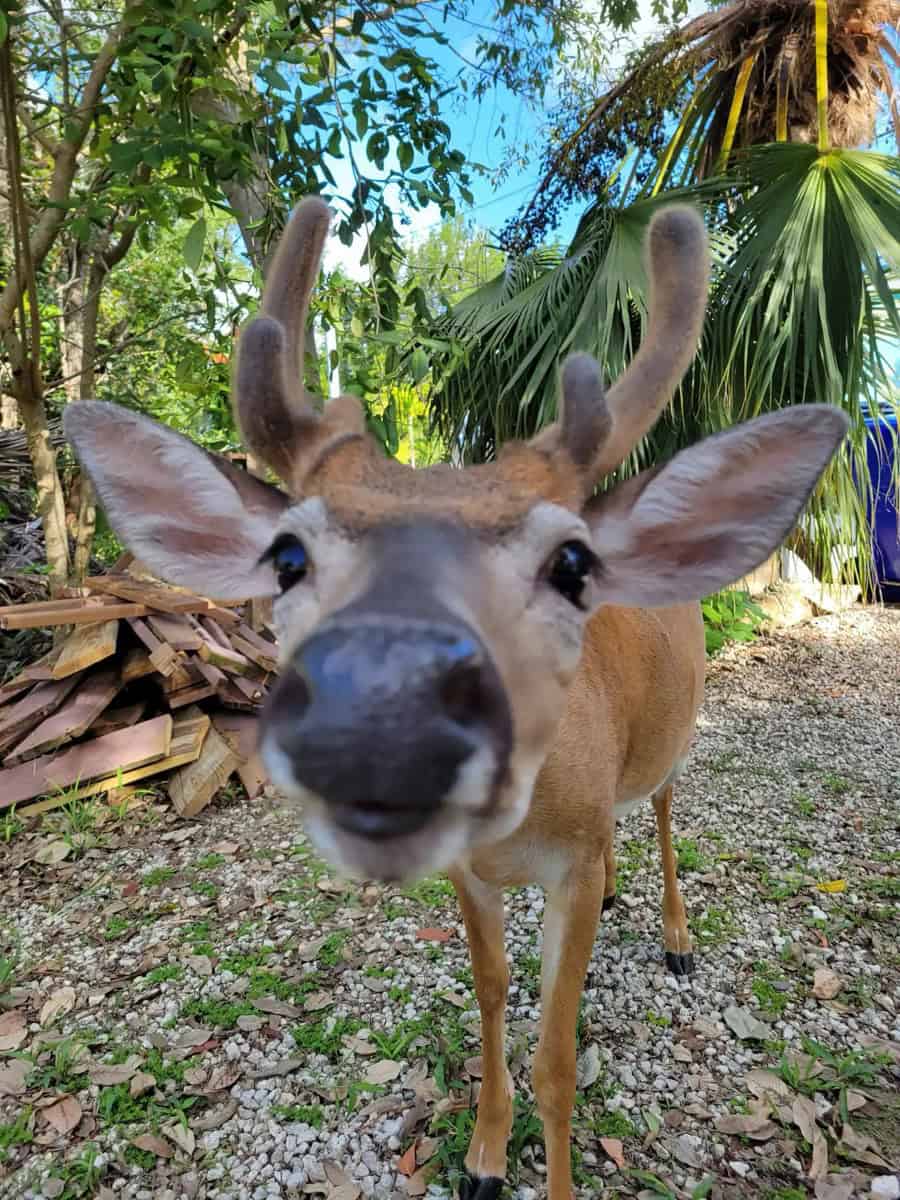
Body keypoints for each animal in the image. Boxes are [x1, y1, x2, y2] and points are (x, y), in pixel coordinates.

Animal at [65, 196, 848, 1200]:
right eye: (287, 556)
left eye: (568, 563)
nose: (380, 718)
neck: (521, 835)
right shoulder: (471, 877)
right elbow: (490, 994)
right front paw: (482, 1155)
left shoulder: (568, 862)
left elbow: (558, 1060)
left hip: (676, 730)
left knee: (668, 806)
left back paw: (674, 934)